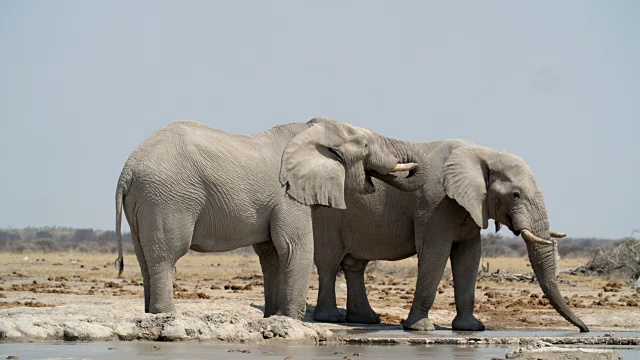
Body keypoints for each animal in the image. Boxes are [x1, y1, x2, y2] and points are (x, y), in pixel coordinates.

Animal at [114, 116, 424, 320]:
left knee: (144, 258)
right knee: (166, 256)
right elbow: (295, 248)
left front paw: (273, 318)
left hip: (145, 202)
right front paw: (292, 322)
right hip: (166, 199)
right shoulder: (287, 195)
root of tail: (127, 170)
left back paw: (149, 315)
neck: (310, 132)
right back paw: (166, 317)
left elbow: (272, 254)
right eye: (366, 145)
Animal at [312, 138, 592, 332]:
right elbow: (435, 254)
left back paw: (366, 320)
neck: (483, 153)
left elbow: (469, 257)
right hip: (328, 214)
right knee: (328, 263)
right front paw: (420, 329)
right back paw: (330, 318)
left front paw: (472, 328)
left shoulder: (471, 208)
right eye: (515, 195)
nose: (584, 329)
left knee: (355, 265)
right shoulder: (435, 204)